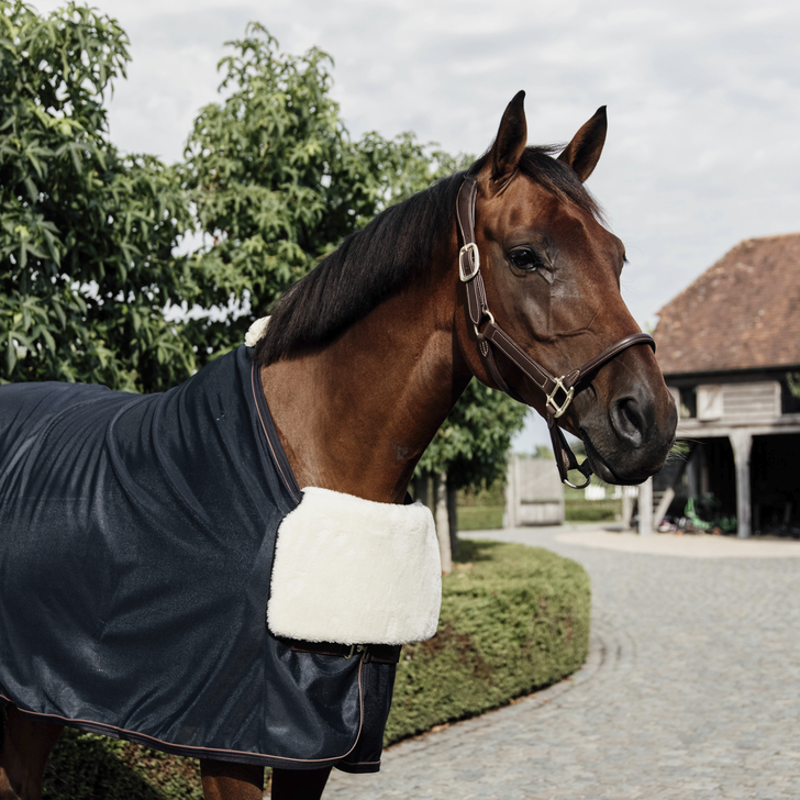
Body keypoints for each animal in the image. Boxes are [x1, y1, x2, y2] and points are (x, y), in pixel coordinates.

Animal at [0, 91, 677, 800]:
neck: (306, 463)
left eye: (617, 258)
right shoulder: (235, 742)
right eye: (524, 256)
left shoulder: (320, 737)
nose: (648, 419)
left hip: (38, 695)